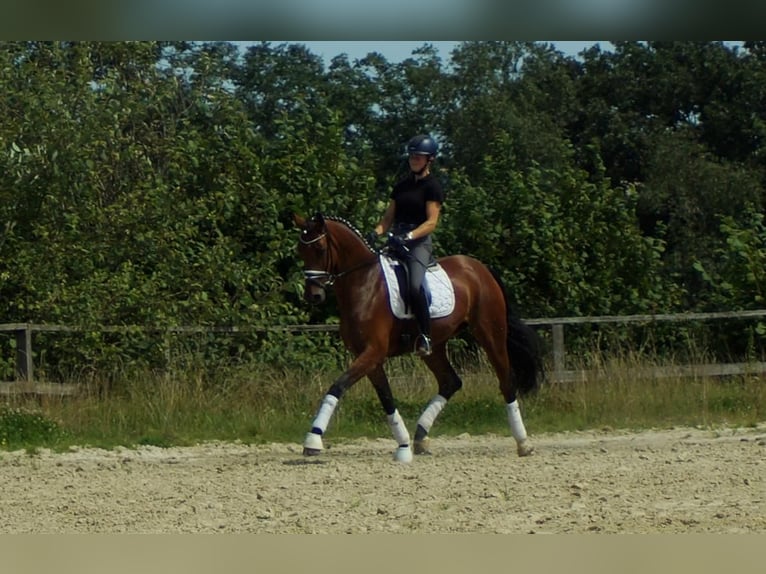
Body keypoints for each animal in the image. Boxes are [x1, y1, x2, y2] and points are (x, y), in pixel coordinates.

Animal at [294, 214, 544, 466]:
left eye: (319, 248)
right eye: (300, 251)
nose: (313, 295)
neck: (364, 284)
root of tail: (479, 268)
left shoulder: (373, 352)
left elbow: (338, 386)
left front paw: (313, 440)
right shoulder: (368, 357)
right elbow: (386, 398)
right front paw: (403, 446)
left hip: (490, 334)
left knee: (506, 381)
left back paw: (523, 443)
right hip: (435, 346)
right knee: (450, 382)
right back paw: (421, 437)